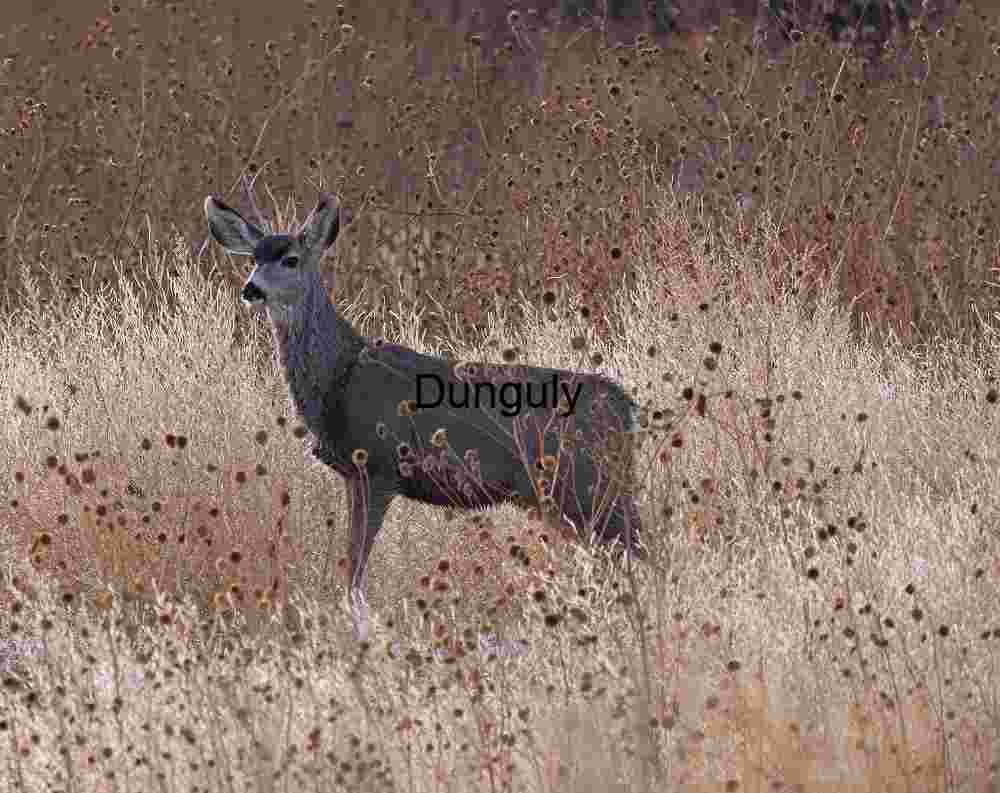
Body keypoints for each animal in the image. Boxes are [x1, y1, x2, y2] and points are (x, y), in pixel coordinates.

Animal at [204, 192, 643, 642]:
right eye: (253, 258)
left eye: (290, 259)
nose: (251, 288)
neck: (339, 376)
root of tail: (625, 408)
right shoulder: (352, 473)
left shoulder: (377, 466)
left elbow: (355, 570)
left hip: (588, 481)